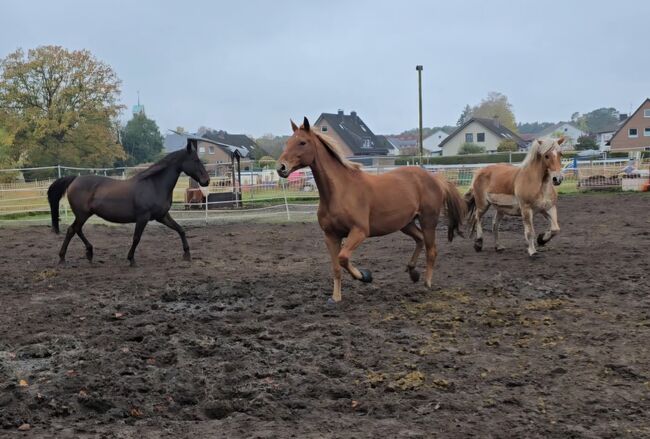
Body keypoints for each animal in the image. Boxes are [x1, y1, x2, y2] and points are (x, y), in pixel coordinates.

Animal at [48, 139, 210, 266]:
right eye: (196, 161)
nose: (206, 181)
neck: (154, 184)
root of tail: (75, 179)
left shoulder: (162, 216)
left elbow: (181, 230)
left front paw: (187, 255)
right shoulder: (143, 217)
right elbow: (136, 238)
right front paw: (131, 259)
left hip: (83, 215)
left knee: (77, 230)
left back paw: (89, 253)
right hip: (82, 214)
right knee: (72, 230)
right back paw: (63, 258)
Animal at [276, 117, 464, 304]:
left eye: (302, 142)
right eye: (287, 142)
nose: (281, 167)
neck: (340, 191)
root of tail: (435, 179)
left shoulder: (359, 231)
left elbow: (343, 258)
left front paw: (365, 276)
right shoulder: (330, 236)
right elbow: (336, 267)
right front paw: (335, 298)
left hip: (428, 221)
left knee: (432, 250)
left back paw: (427, 283)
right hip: (406, 223)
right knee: (419, 240)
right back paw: (413, 272)